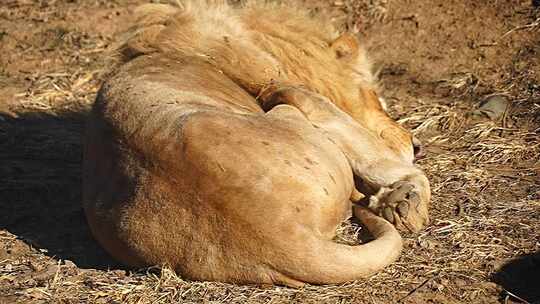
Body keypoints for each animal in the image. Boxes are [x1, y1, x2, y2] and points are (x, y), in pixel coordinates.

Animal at [83, 0, 430, 288]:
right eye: (374, 95)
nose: (416, 145)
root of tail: (285, 238)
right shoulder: (286, 88)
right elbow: (371, 151)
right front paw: (406, 186)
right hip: (288, 109)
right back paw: (401, 200)